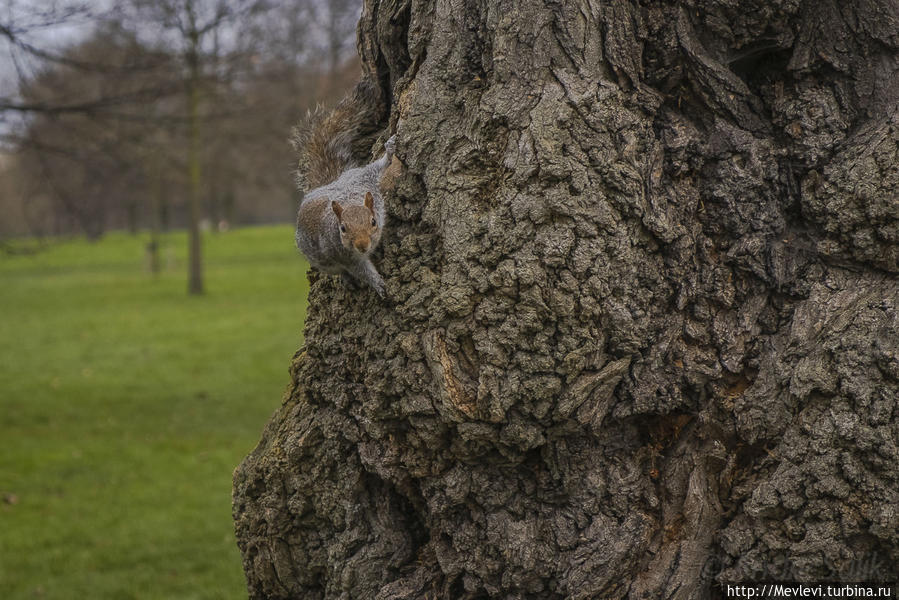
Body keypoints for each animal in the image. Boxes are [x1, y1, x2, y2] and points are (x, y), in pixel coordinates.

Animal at [296, 81, 394, 298]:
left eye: (373, 221)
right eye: (343, 228)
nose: (362, 245)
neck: (349, 200)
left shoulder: (363, 179)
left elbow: (376, 167)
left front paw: (390, 151)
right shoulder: (346, 256)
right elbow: (361, 270)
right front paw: (379, 285)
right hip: (323, 261)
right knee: (340, 270)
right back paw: (347, 279)